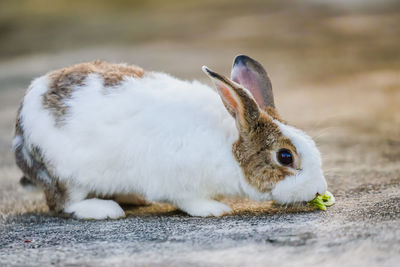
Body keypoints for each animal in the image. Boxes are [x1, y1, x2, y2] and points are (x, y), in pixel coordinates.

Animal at [12, 55, 326, 220]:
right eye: (285, 157)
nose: (318, 191)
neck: (228, 147)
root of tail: (20, 131)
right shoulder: (177, 180)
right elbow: (189, 200)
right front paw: (215, 208)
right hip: (66, 177)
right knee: (64, 204)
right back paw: (105, 209)